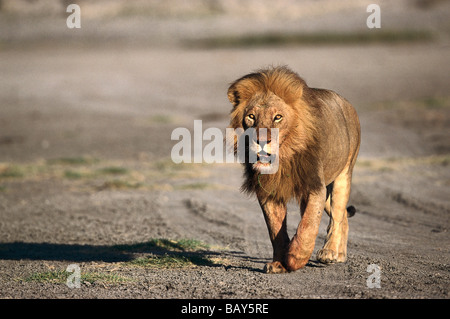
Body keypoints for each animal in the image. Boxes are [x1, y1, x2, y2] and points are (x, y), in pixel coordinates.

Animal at [227, 66, 360, 274]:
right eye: (251, 117)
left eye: (278, 117)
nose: (262, 141)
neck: (283, 160)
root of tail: (346, 103)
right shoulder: (269, 192)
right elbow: (276, 231)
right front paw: (278, 264)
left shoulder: (314, 186)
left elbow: (308, 224)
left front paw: (295, 257)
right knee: (344, 216)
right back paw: (339, 253)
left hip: (344, 174)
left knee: (338, 214)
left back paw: (330, 252)